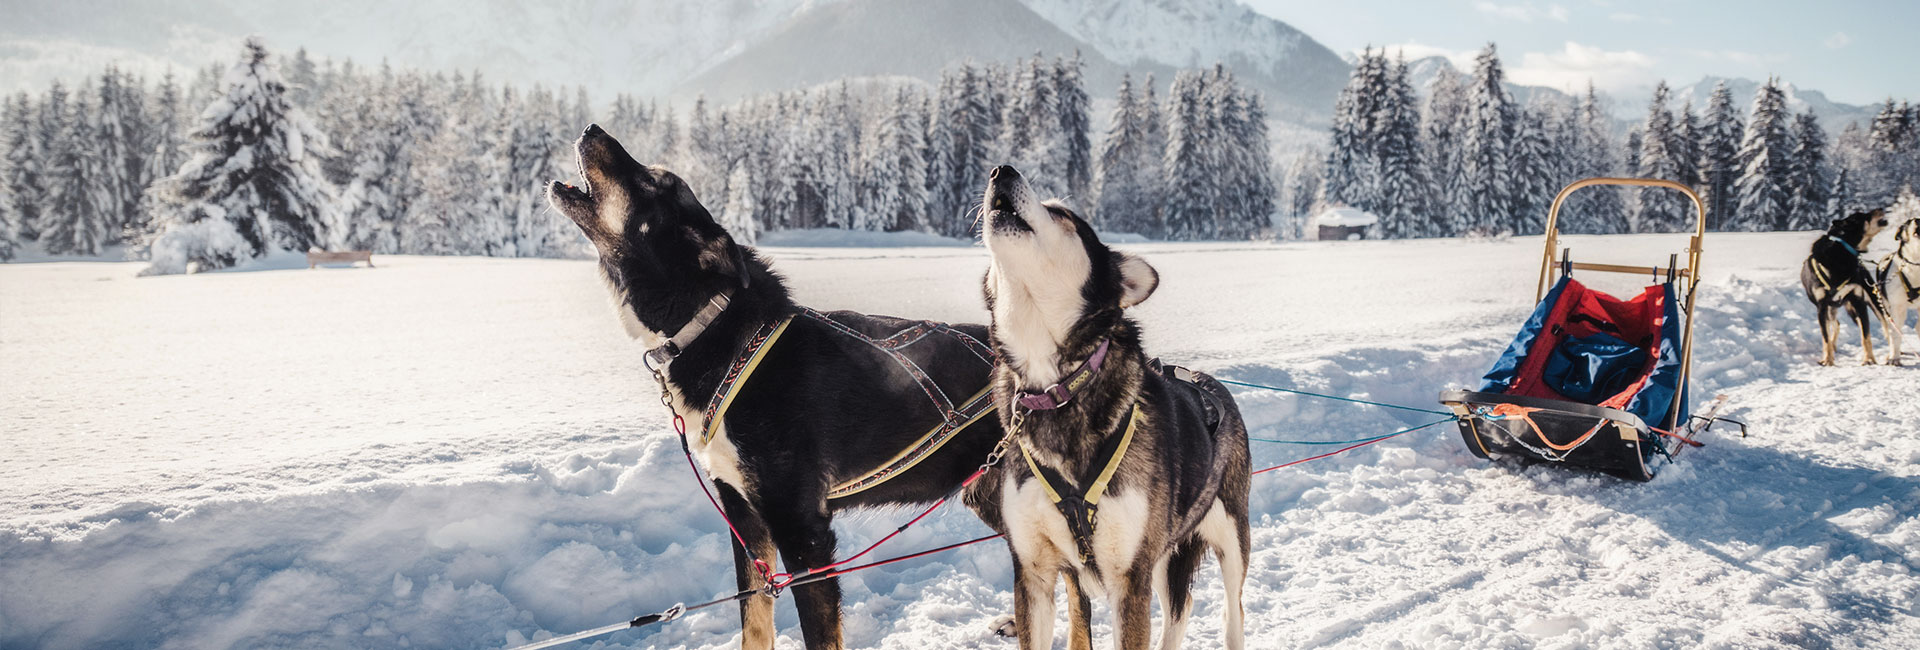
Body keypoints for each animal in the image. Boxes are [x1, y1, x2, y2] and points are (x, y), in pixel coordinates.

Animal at [549, 123, 1013, 650]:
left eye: (653, 180)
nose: (591, 128)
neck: (716, 329)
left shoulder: (802, 529)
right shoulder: (744, 516)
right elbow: (754, 620)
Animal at [967, 166, 1251, 650]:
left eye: (1062, 214)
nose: (1001, 170)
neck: (1057, 387)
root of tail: (1208, 382)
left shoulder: (1129, 578)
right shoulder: (1034, 575)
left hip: (1229, 540)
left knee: (1232, 612)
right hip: (1162, 553)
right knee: (1180, 608)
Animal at [1804, 210, 1896, 370]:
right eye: (1862, 216)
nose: (1880, 208)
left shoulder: (1858, 302)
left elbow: (1865, 336)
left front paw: (1869, 359)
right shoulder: (1822, 307)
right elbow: (1825, 337)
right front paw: (1827, 359)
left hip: (1872, 302)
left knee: (1886, 326)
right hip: (1832, 310)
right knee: (1835, 325)